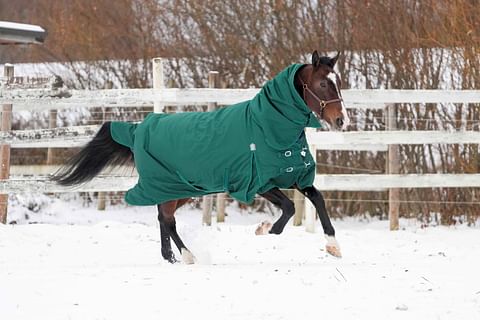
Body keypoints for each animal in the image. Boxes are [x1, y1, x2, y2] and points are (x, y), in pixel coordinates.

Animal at [52, 50, 350, 264]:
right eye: (323, 83)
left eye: (338, 83)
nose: (341, 120)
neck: (269, 126)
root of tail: (139, 129)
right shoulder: (258, 182)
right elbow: (288, 208)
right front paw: (264, 229)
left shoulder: (293, 176)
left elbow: (318, 199)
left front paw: (334, 247)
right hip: (170, 186)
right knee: (167, 219)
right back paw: (188, 257)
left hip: (181, 189)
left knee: (162, 217)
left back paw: (171, 258)